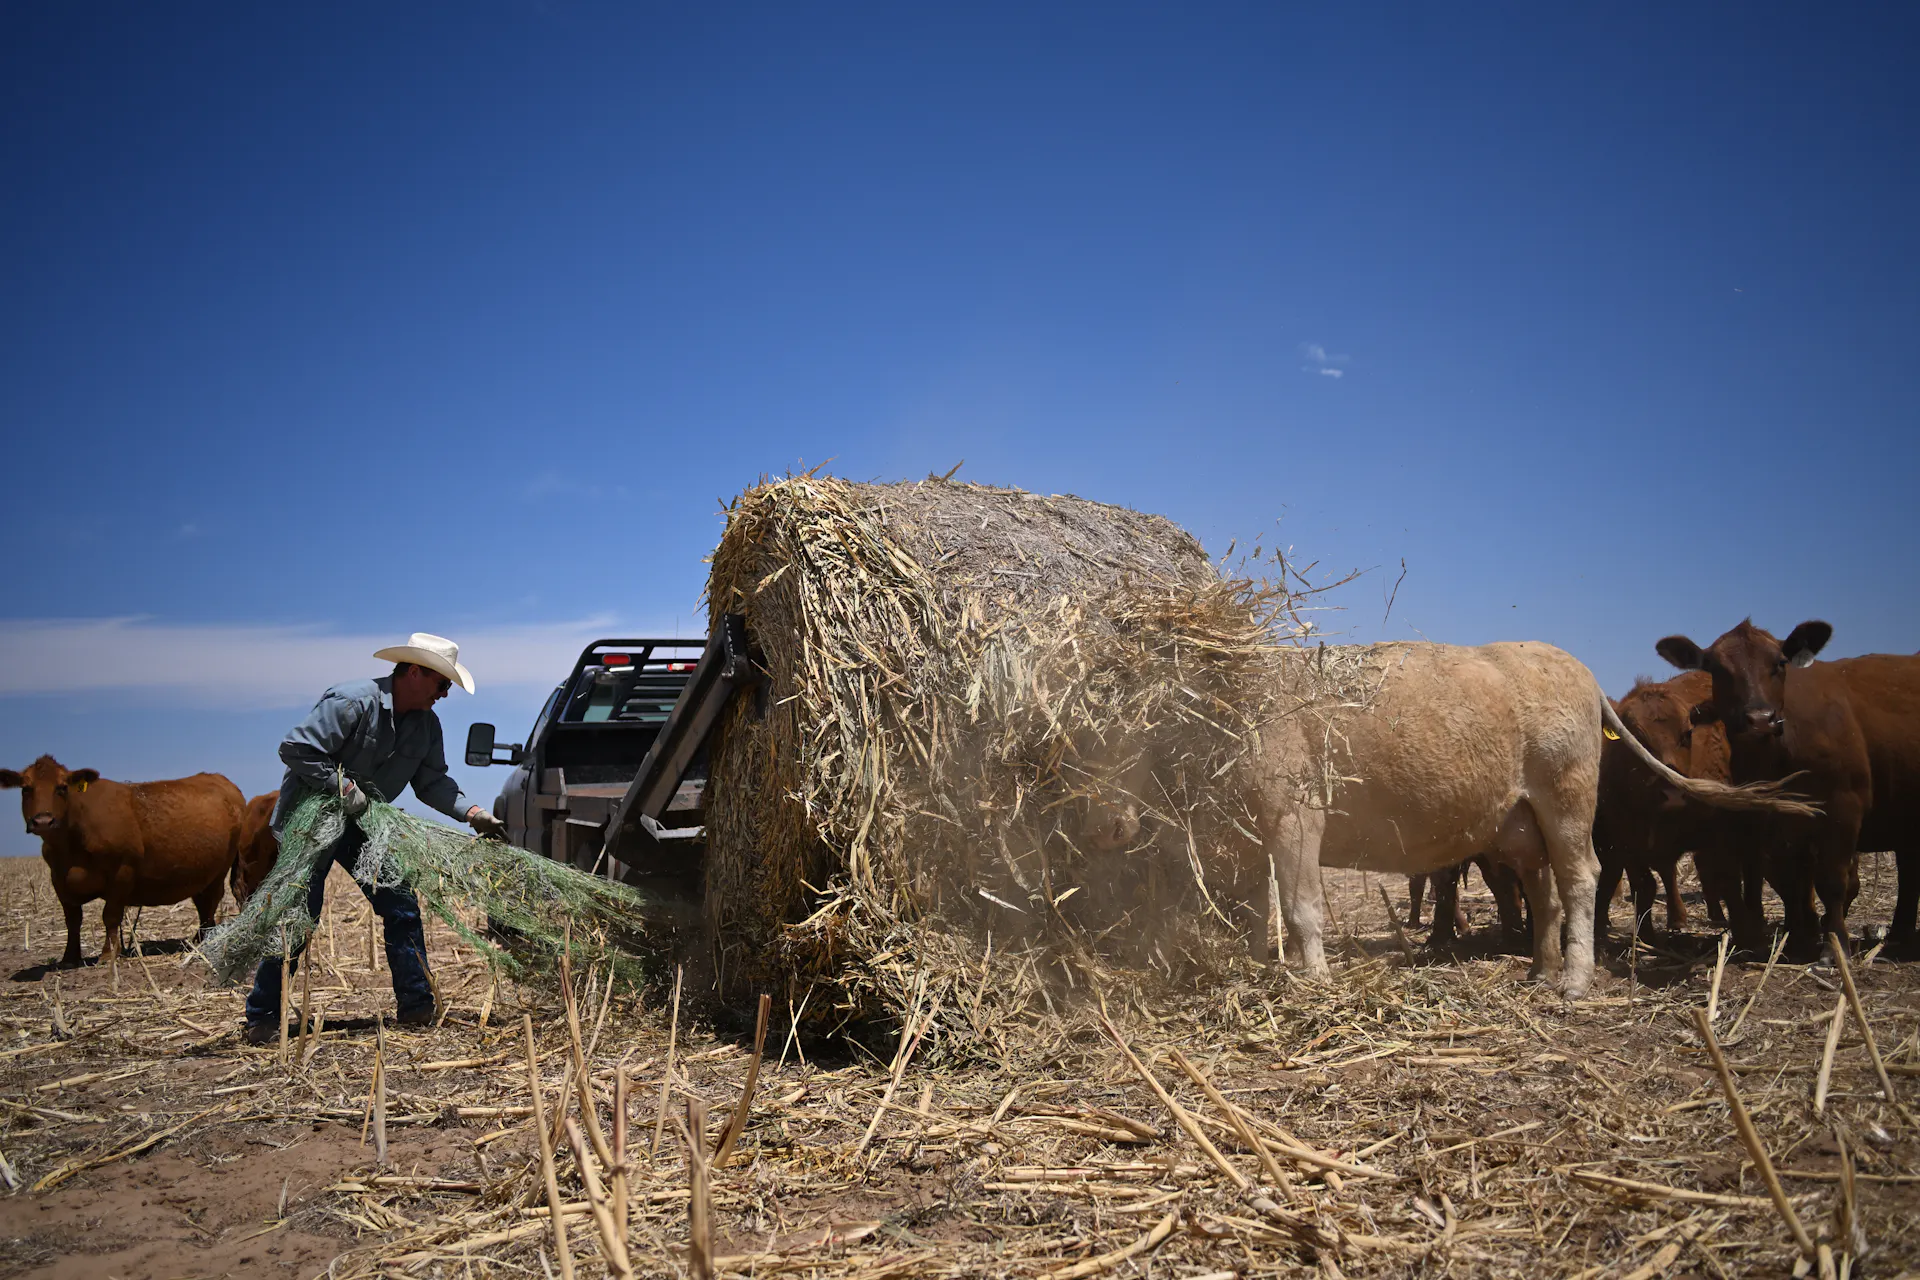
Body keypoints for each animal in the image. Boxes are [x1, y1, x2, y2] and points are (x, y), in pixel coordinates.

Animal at [0, 756, 243, 966]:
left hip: (219, 872)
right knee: (202, 904)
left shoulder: (121, 872)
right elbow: (73, 920)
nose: (43, 821)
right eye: (26, 788)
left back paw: (203, 939)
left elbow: (110, 916)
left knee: (210, 903)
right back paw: (199, 939)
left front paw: (108, 955)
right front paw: (69, 957)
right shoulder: (59, 879)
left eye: (62, 787)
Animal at [1086, 642, 1813, 998]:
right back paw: (1541, 965)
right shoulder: (1254, 832)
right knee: (1543, 889)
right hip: (1520, 821)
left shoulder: (1297, 815)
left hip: (1567, 797)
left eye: (1116, 733)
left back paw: (1574, 979)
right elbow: (1254, 911)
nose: (1105, 825)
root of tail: (1580, 672)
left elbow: (1301, 908)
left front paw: (1313, 979)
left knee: (1582, 881)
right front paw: (1261, 966)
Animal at [1658, 619, 1920, 958]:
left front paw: (1834, 945)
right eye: (1717, 669)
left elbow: (1832, 881)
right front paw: (1799, 939)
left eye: (1780, 663)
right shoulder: (1776, 821)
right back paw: (1899, 936)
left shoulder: (1844, 809)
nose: (1759, 719)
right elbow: (1793, 881)